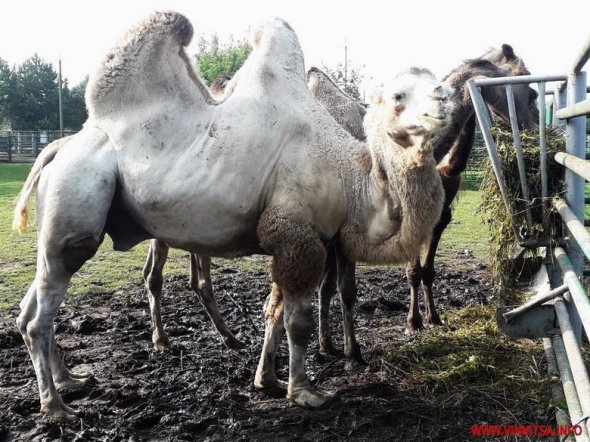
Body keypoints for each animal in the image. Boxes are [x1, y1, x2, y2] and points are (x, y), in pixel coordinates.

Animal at [12, 9, 454, 418]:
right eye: (398, 96)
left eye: (437, 81)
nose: (444, 97)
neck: (350, 178)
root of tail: (58, 147)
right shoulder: (297, 235)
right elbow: (297, 320)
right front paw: (304, 391)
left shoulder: (288, 239)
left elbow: (273, 310)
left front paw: (267, 381)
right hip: (76, 198)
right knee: (43, 309)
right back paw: (55, 407)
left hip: (58, 224)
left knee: (31, 304)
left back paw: (71, 380)